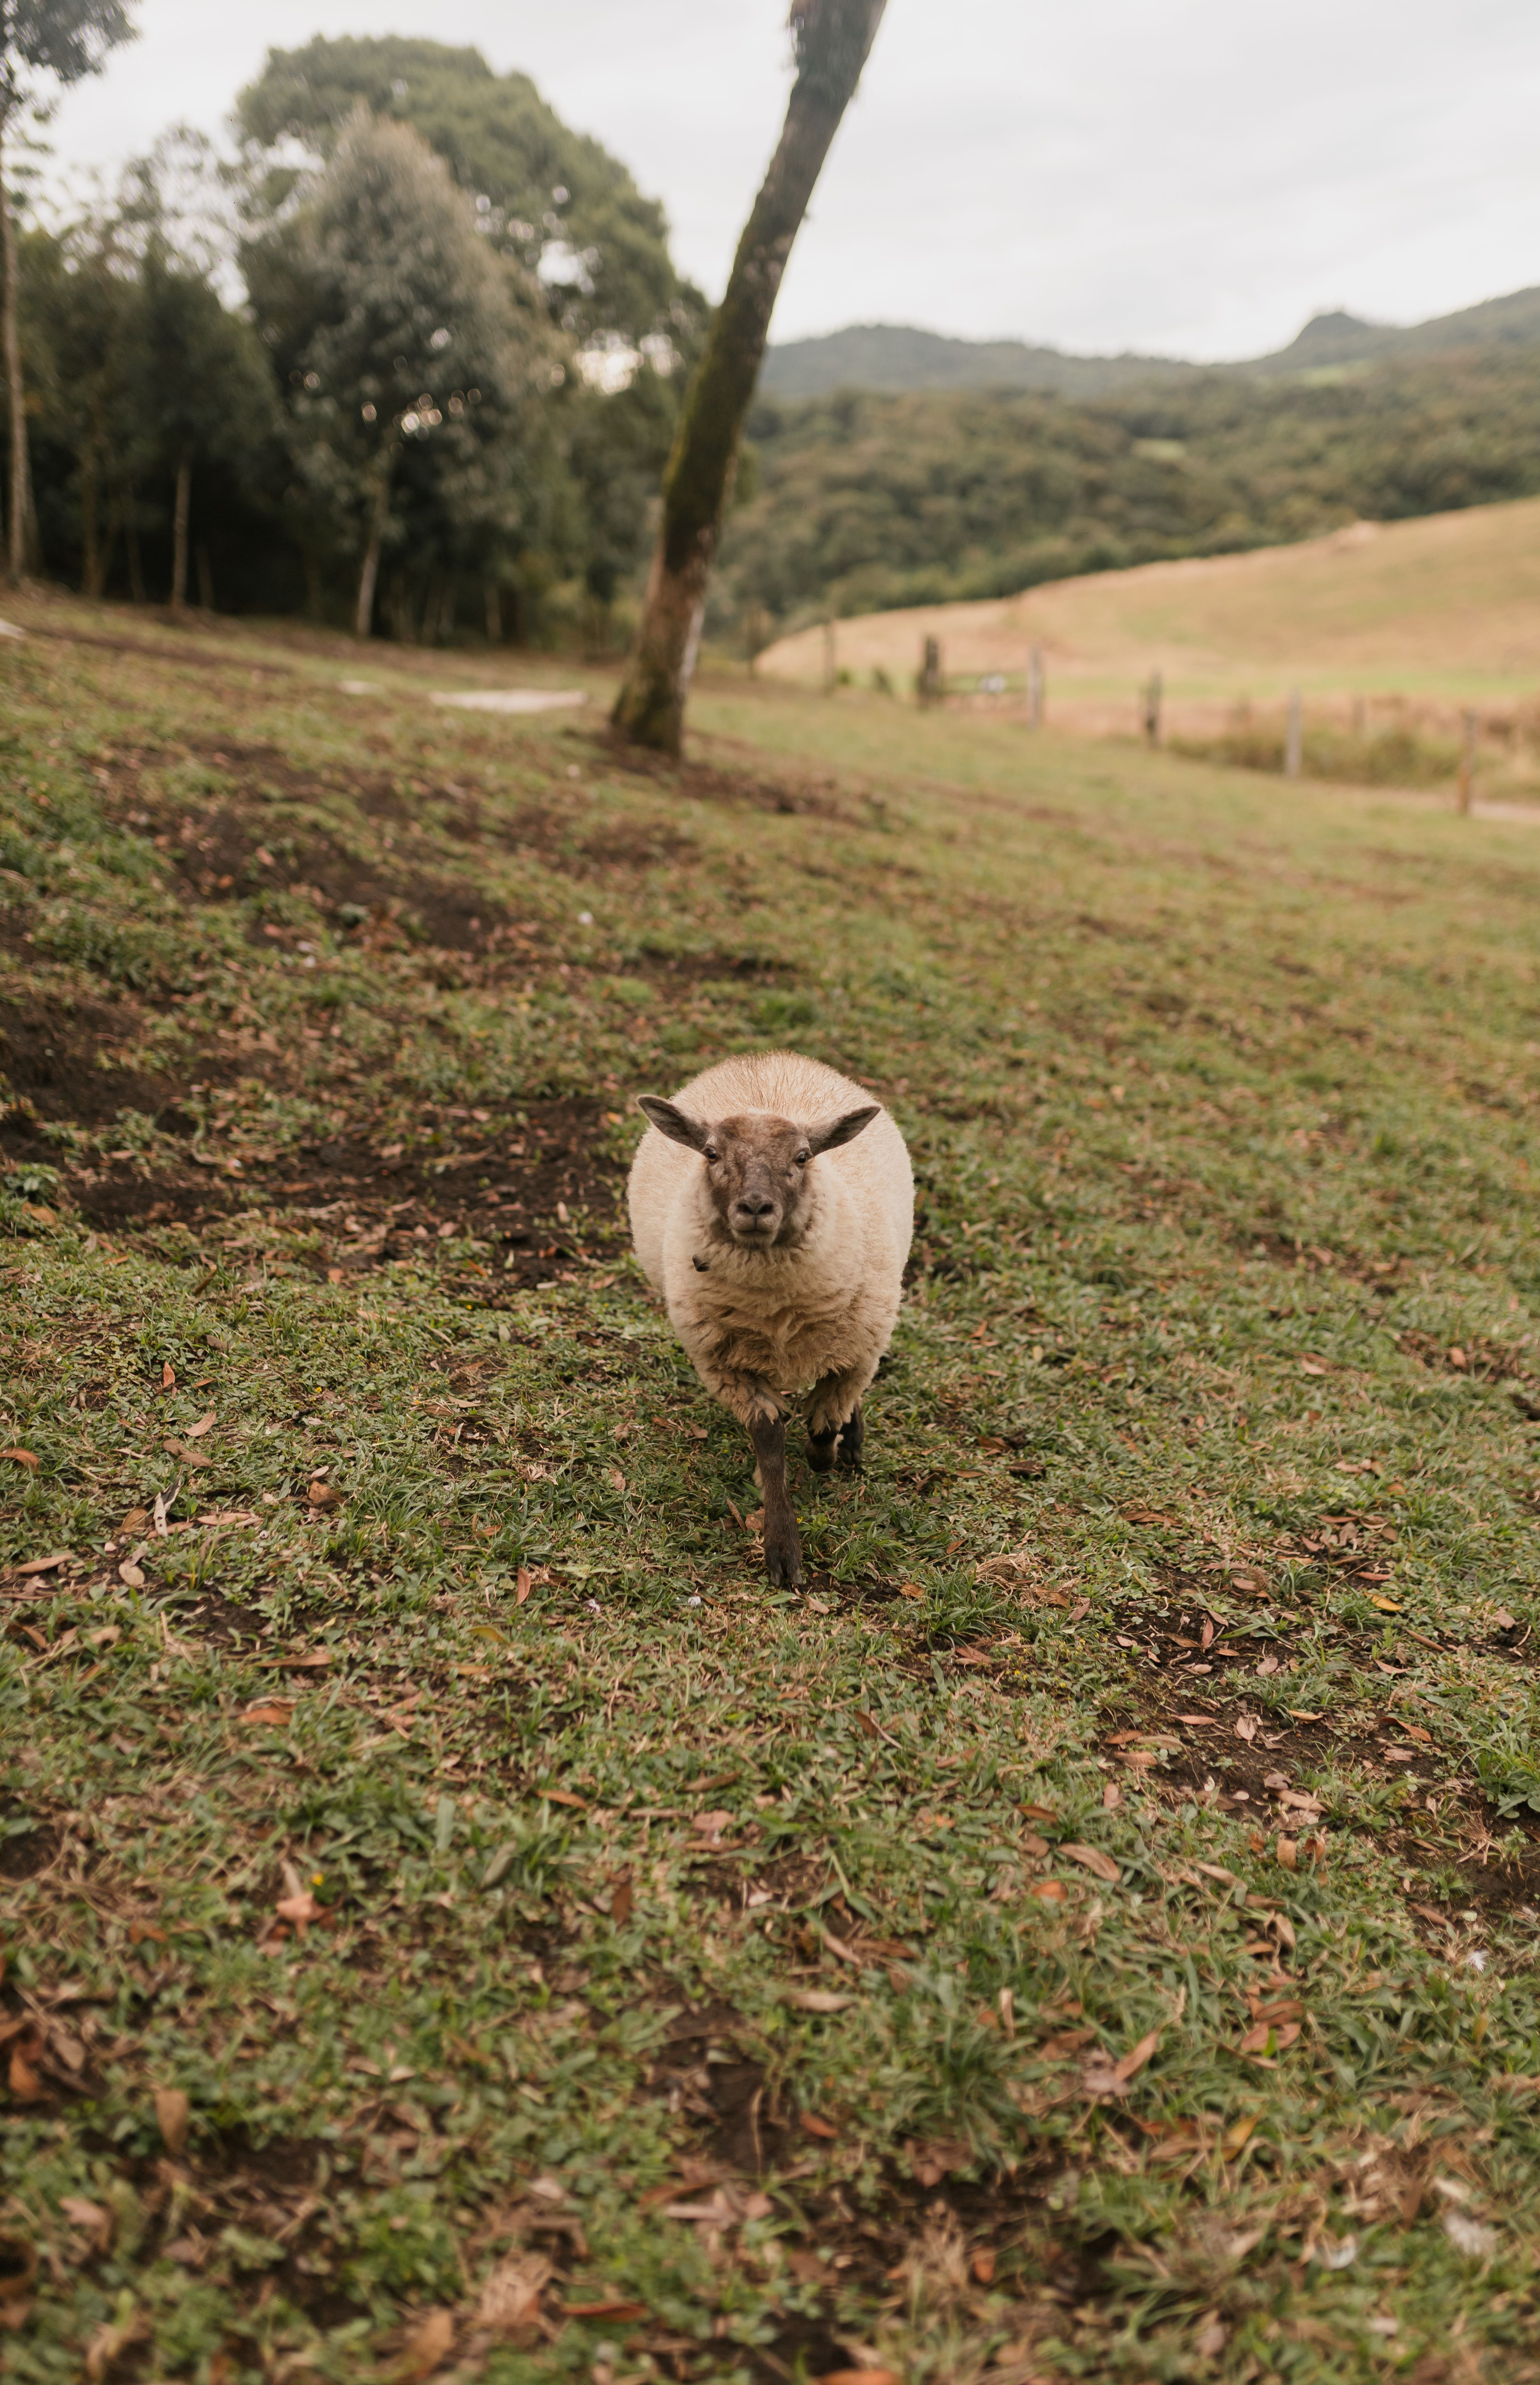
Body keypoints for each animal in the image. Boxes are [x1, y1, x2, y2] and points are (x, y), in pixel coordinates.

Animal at [628, 1049, 914, 1587]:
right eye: (711, 1153)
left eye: (803, 1157)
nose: (756, 1207)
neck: (774, 1307)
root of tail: (768, 1058)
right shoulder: (729, 1367)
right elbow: (770, 1439)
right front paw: (781, 1546)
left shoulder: (856, 1350)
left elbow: (825, 1418)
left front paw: (826, 1454)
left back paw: (850, 1443)